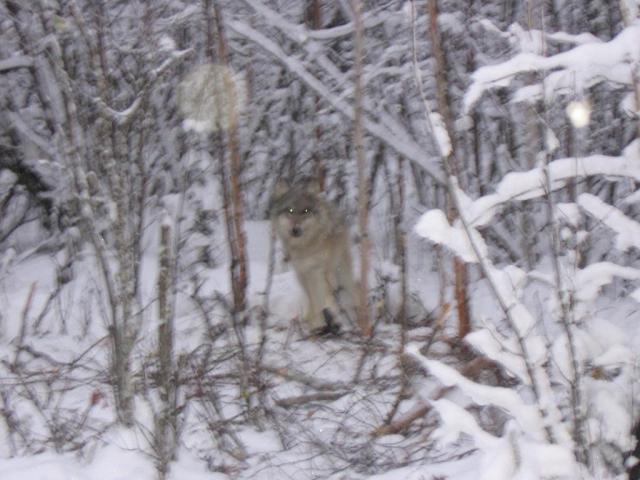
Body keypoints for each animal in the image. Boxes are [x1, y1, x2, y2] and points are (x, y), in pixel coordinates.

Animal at [269, 180, 356, 336]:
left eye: (305, 211)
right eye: (290, 210)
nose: (295, 230)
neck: (307, 246)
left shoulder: (320, 271)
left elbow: (321, 299)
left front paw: (324, 322)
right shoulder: (304, 271)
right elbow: (313, 300)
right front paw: (316, 324)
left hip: (339, 268)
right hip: (303, 277)